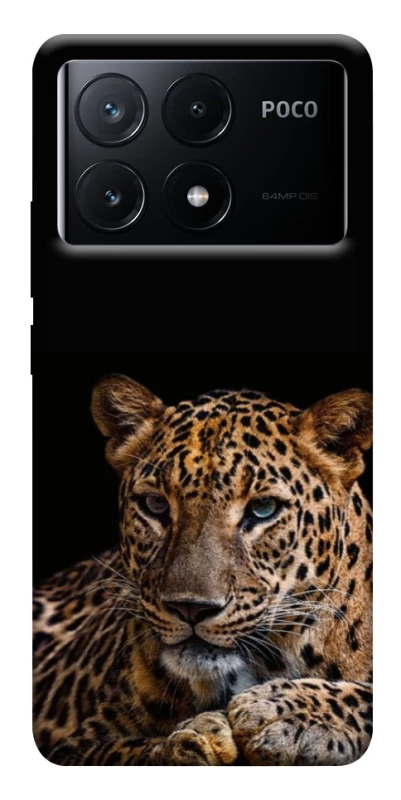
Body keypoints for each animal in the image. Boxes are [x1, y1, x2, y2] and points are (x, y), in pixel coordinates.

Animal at [33, 374, 373, 766]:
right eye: (154, 505)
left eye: (263, 509)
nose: (190, 608)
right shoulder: (77, 745)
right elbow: (127, 752)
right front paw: (194, 740)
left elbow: (366, 696)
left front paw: (283, 711)